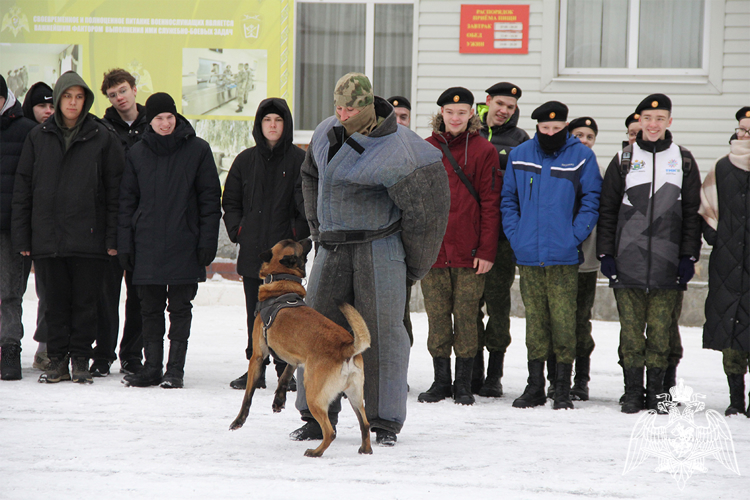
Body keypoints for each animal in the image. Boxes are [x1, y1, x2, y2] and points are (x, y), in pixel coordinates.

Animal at [226, 238, 374, 458]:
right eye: (296, 243)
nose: (310, 238)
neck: (282, 282)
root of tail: (346, 347)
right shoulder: (295, 359)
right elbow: (284, 376)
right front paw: (278, 400)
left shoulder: (258, 356)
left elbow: (248, 396)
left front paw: (239, 421)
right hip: (355, 395)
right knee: (365, 424)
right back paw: (365, 449)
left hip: (314, 396)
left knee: (330, 431)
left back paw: (316, 451)